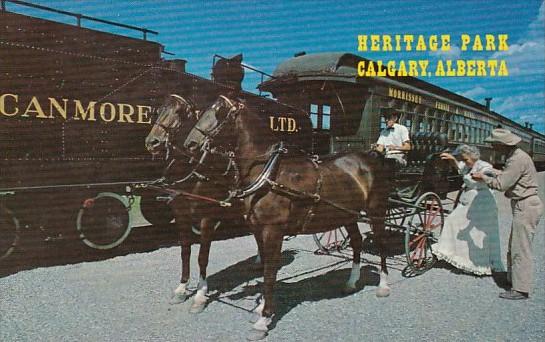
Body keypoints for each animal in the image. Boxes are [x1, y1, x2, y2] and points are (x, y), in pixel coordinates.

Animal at [143, 93, 252, 312]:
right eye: (158, 111)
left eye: (178, 112)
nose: (152, 142)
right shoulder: (181, 216)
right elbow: (185, 251)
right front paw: (181, 289)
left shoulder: (207, 218)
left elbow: (202, 255)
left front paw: (200, 295)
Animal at [185, 95, 394, 338]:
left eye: (218, 113)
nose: (190, 144)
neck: (268, 173)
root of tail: (369, 158)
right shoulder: (258, 229)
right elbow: (265, 267)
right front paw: (262, 307)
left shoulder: (273, 230)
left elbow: (269, 272)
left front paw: (264, 319)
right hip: (347, 215)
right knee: (358, 241)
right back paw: (351, 282)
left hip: (376, 210)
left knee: (380, 242)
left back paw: (383, 285)